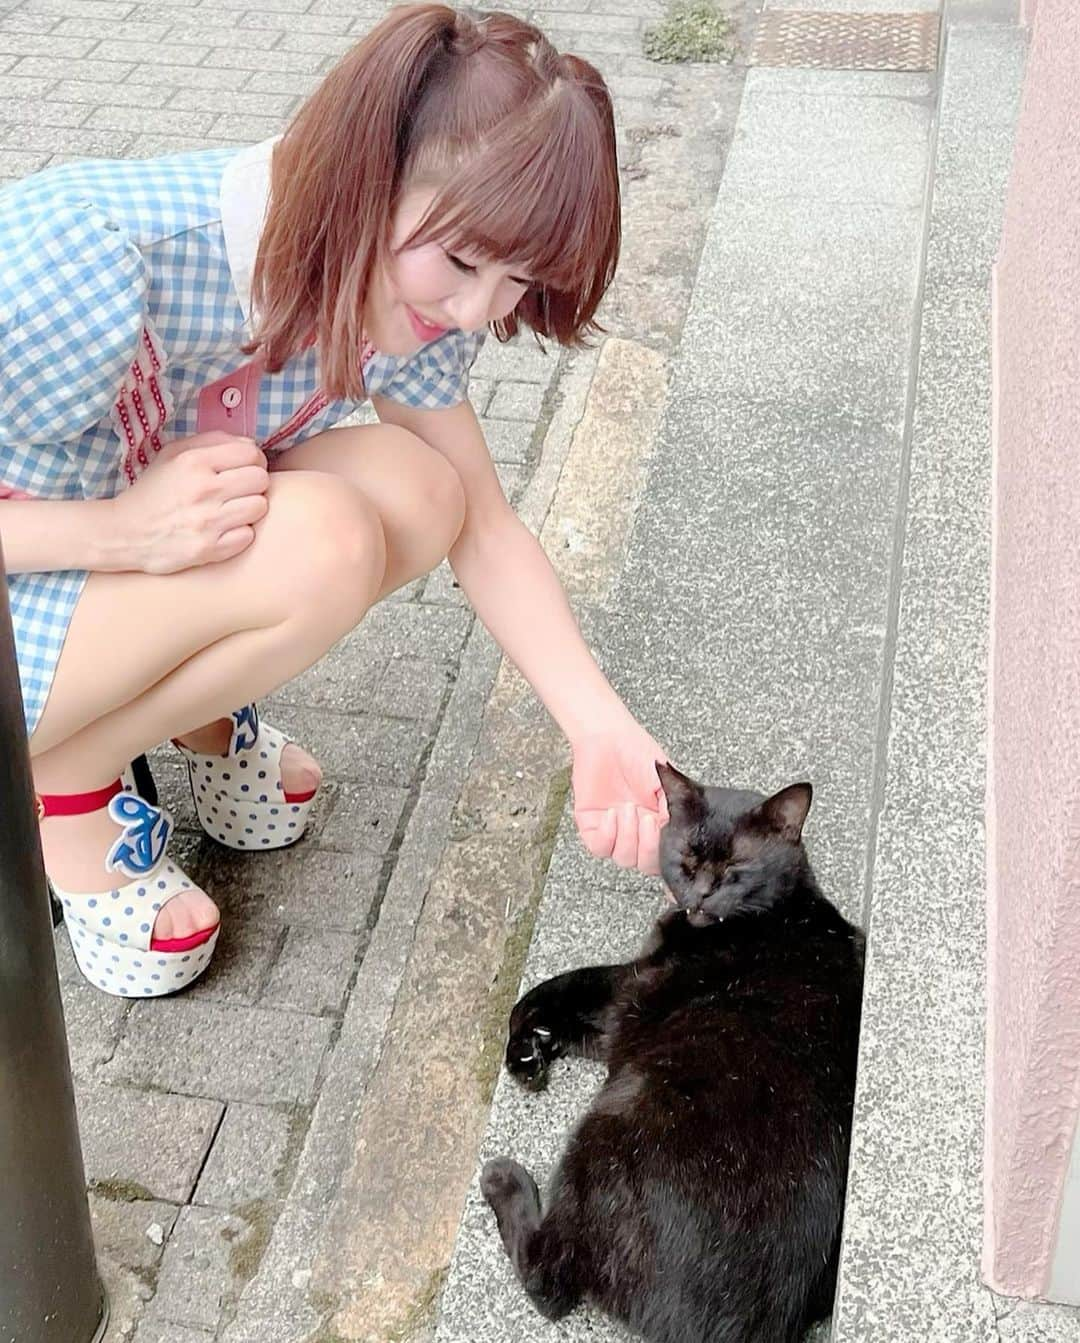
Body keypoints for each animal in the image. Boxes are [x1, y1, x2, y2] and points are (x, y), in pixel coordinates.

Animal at [486, 768, 865, 1343]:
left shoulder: (629, 991)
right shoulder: (625, 1010)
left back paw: (504, 1180)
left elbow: (544, 991)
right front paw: (537, 1047)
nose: (702, 894)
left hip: (610, 1119)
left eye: (734, 869)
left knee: (550, 1281)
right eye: (687, 857)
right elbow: (555, 1006)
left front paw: (524, 1053)